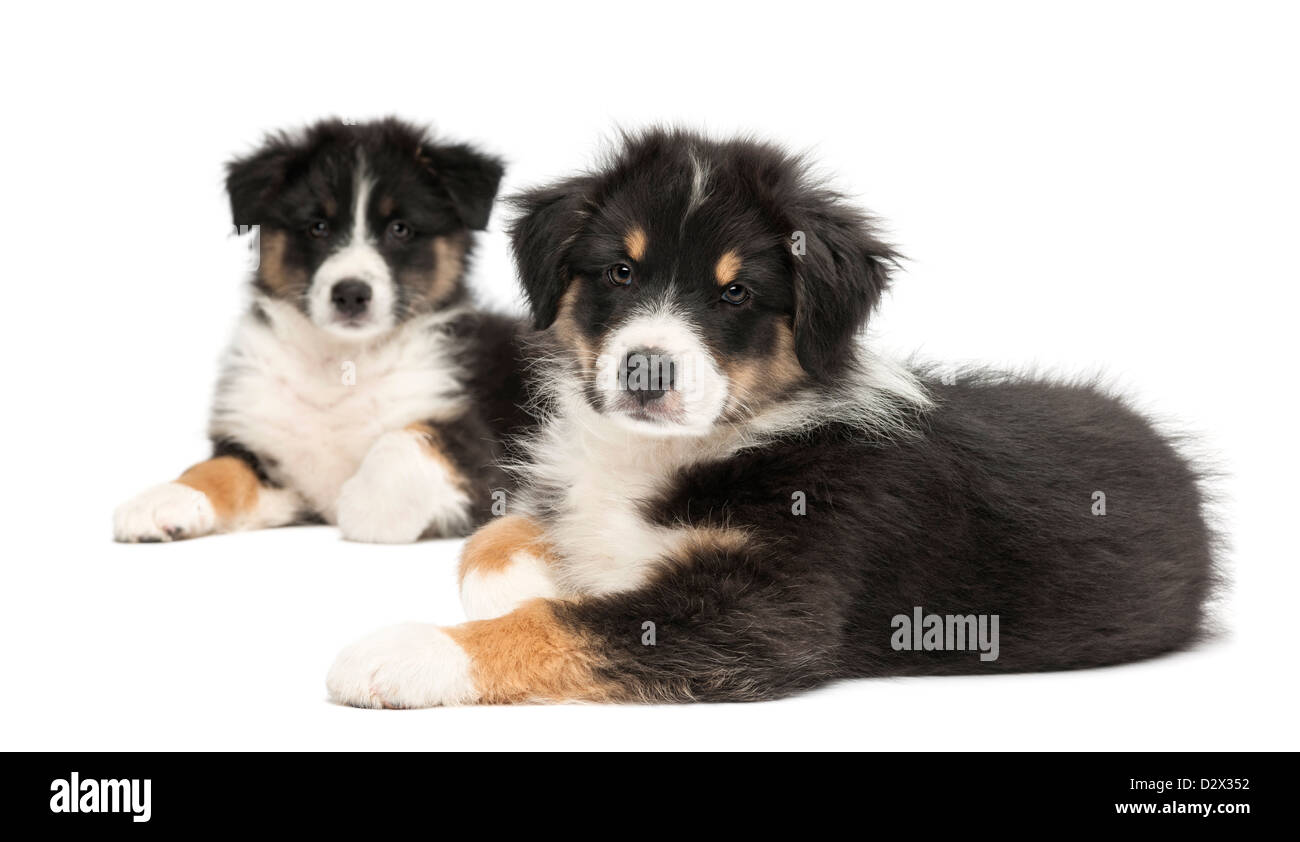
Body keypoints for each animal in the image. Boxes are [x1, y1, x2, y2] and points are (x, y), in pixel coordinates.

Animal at [114, 120, 530, 545]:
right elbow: (221, 467)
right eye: (318, 227)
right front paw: (166, 499)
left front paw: (371, 506)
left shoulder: (479, 449)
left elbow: (408, 439)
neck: (342, 361)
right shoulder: (273, 458)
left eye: (400, 229)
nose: (351, 294)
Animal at [325, 127, 1216, 706]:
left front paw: (405, 651)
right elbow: (491, 543)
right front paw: (533, 571)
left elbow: (562, 624)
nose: (646, 367)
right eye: (620, 271)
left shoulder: (768, 607)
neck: (686, 450)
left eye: (736, 293)